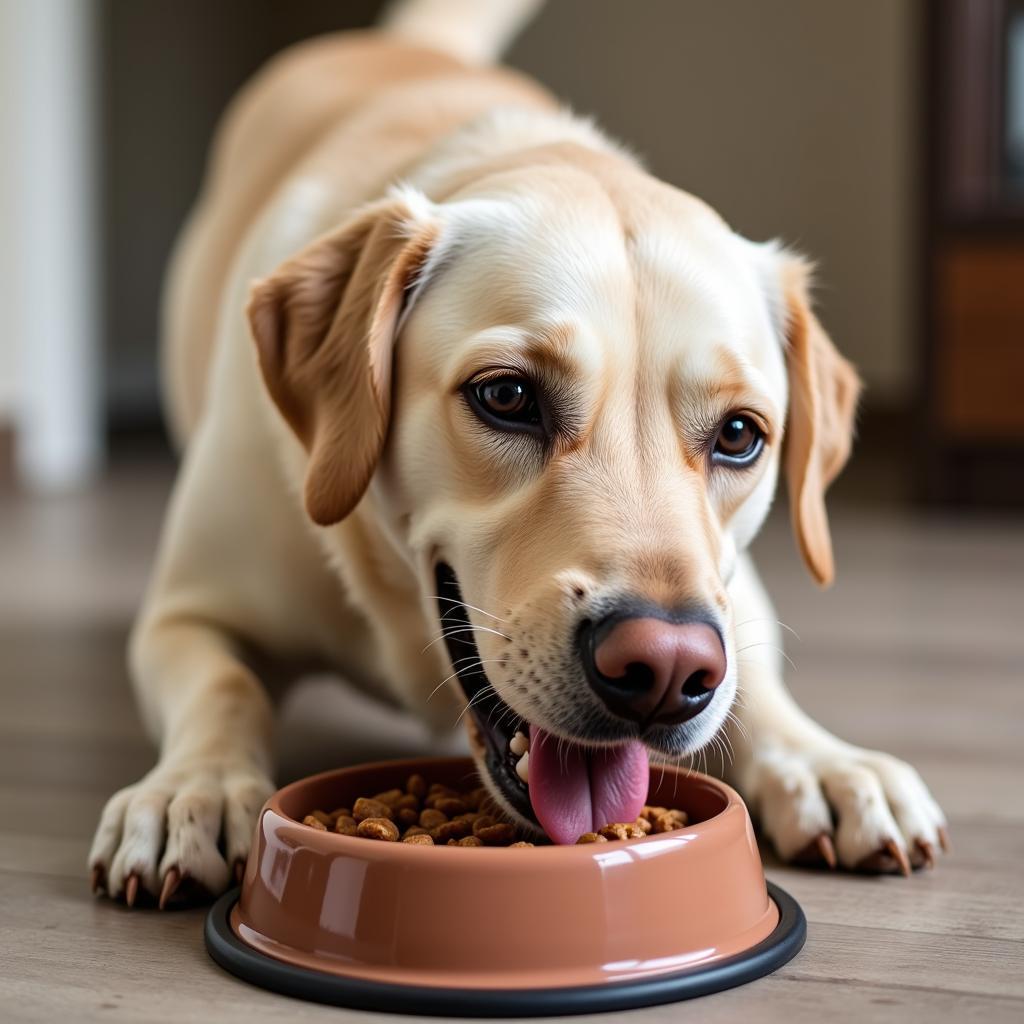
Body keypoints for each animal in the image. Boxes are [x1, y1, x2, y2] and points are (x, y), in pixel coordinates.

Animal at [86, 0, 942, 909]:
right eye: (507, 397)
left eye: (740, 435)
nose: (667, 669)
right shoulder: (187, 614)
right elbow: (226, 685)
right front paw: (195, 788)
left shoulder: (730, 593)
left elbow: (757, 682)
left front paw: (825, 762)